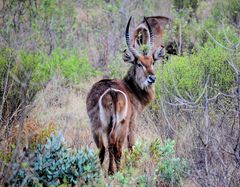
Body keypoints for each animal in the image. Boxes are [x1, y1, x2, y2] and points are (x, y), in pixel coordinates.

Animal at [86, 16, 165, 175]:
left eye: (152, 62)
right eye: (139, 63)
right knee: (116, 146)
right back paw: (115, 171)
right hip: (121, 123)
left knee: (103, 148)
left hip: (97, 125)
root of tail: (111, 92)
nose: (152, 78)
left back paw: (103, 171)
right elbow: (131, 145)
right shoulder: (133, 122)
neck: (131, 88)